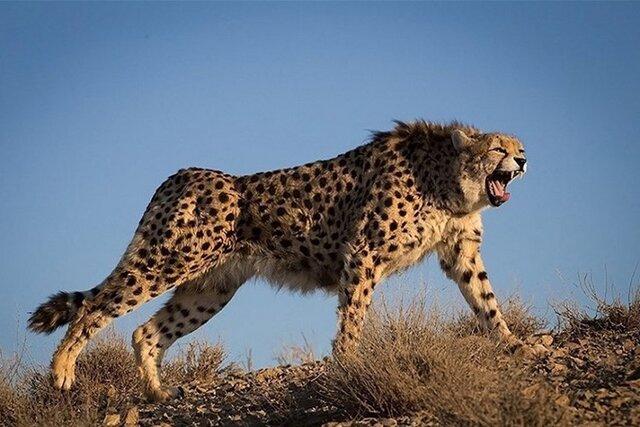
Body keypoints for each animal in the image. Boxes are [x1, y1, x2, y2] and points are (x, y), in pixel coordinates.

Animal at [31, 121, 540, 404]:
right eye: (498, 148)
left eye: (518, 147)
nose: (523, 160)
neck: (446, 179)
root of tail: (183, 175)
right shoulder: (363, 253)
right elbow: (353, 314)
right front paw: (348, 361)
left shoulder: (460, 252)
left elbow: (485, 299)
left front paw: (513, 343)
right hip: (170, 259)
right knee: (94, 308)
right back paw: (62, 370)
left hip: (210, 289)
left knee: (147, 331)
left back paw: (156, 393)